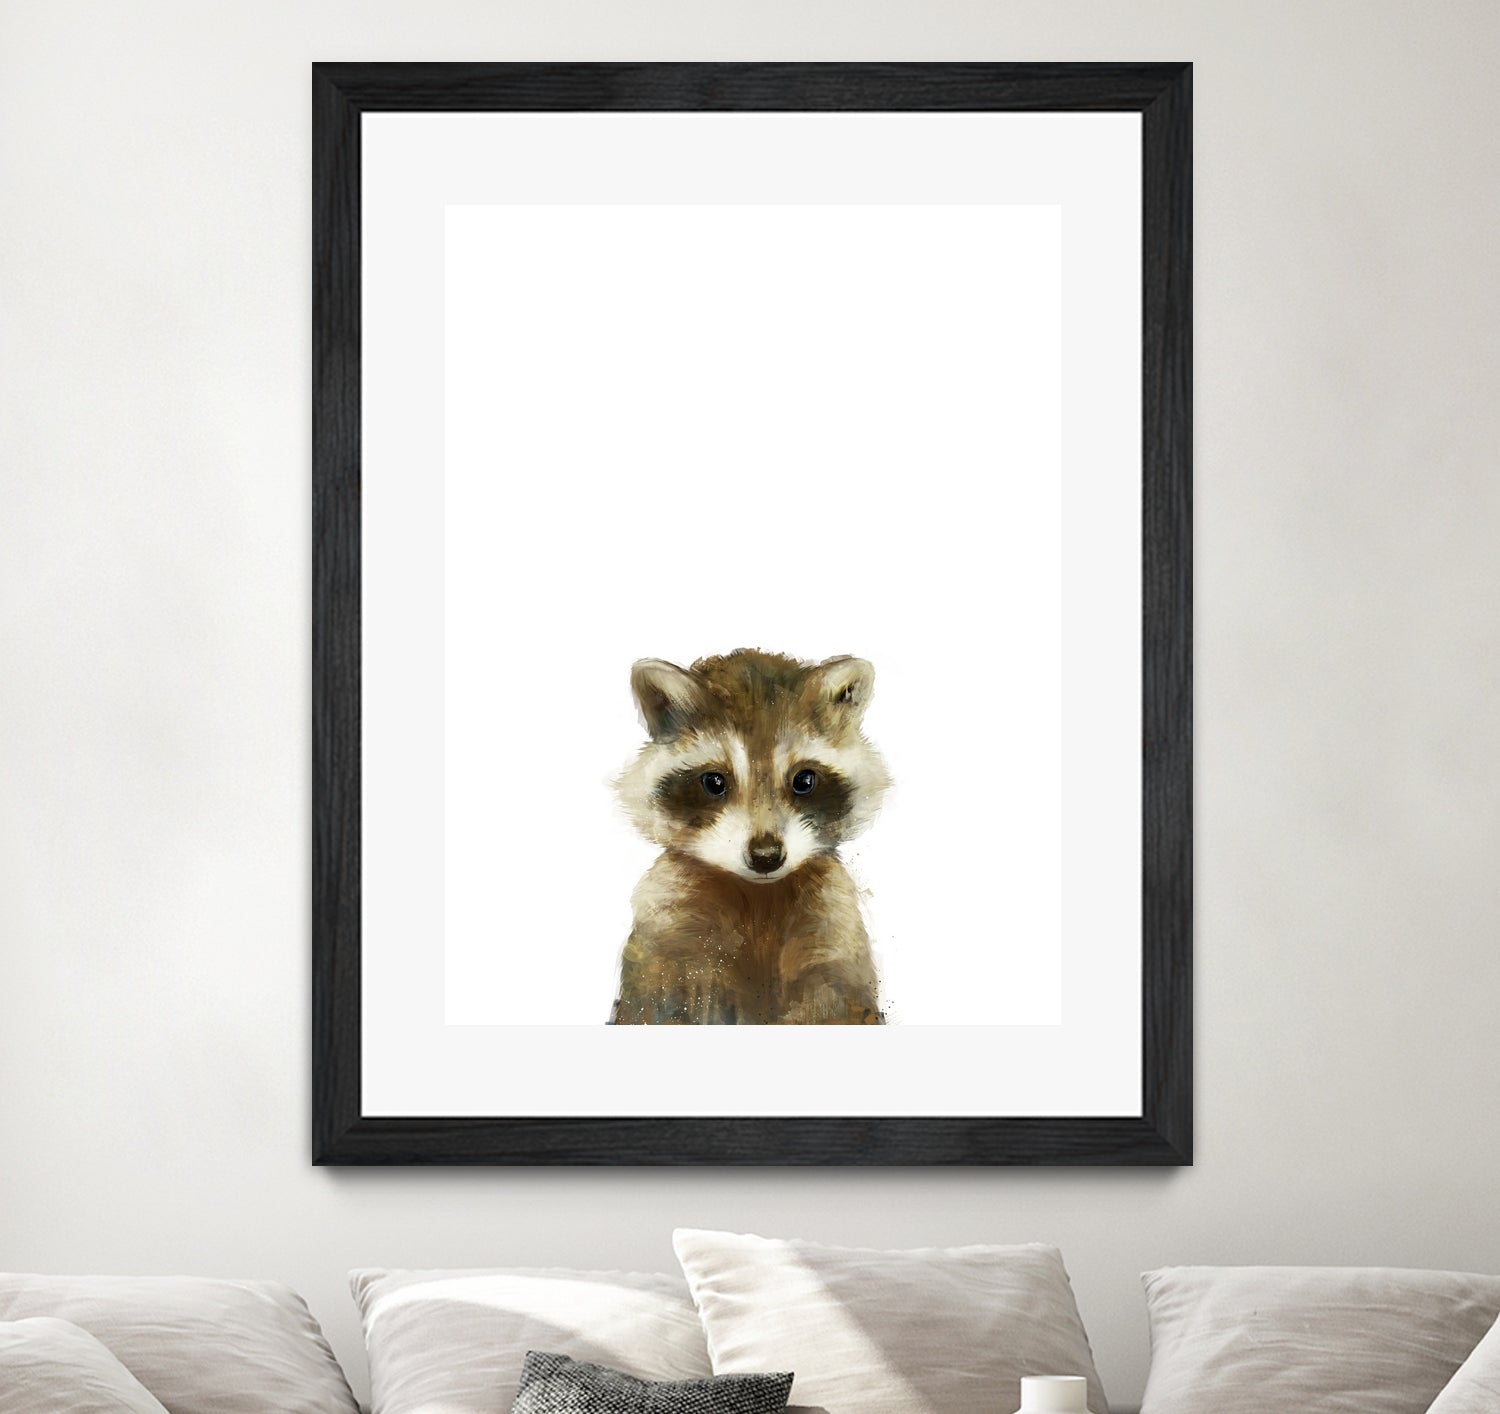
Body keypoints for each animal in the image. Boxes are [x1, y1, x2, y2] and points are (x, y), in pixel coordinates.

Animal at [610, 648, 892, 1025]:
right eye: (714, 782)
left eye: (804, 781)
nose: (766, 856)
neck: (759, 897)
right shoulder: (668, 933)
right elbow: (660, 1003)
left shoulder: (833, 930)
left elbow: (837, 1002)